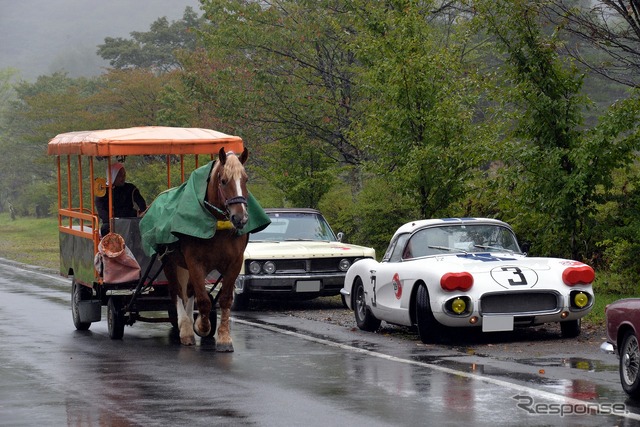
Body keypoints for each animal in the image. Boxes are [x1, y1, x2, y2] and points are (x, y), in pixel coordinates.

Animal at [161, 149, 249, 352]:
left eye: (246, 180)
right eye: (223, 180)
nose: (240, 218)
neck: (218, 227)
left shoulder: (234, 263)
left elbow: (224, 299)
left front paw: (224, 337)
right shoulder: (195, 263)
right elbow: (203, 300)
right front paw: (201, 326)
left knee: (189, 291)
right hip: (169, 262)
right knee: (177, 292)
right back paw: (185, 328)